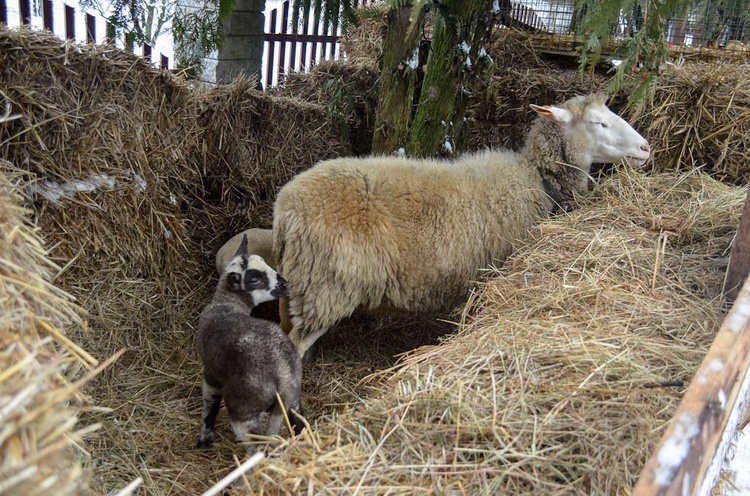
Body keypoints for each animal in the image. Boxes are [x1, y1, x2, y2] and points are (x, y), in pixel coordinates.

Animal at [200, 234, 308, 452]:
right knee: (301, 427)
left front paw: (204, 440)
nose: (286, 284)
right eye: (254, 280)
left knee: (257, 447)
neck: (226, 305)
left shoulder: (210, 374)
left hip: (245, 410)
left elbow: (209, 406)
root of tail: (282, 377)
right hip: (293, 401)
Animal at [274, 93, 652, 358]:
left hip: (300, 283)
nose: (646, 148)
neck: (537, 178)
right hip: (328, 285)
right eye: (598, 123)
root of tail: (284, 208)